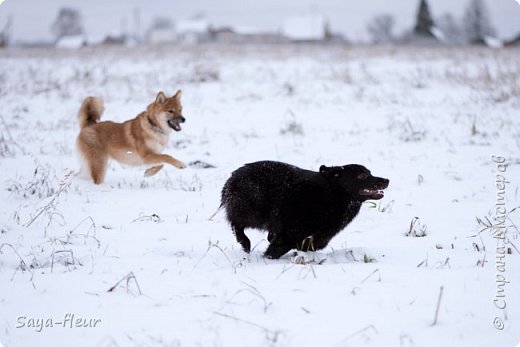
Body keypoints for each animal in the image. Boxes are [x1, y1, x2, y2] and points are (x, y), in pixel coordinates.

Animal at [221, 162, 388, 260]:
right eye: (362, 176)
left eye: (370, 172)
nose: (387, 180)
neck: (331, 194)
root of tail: (233, 177)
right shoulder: (289, 234)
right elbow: (274, 250)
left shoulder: (316, 237)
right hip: (252, 211)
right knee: (236, 225)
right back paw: (245, 243)